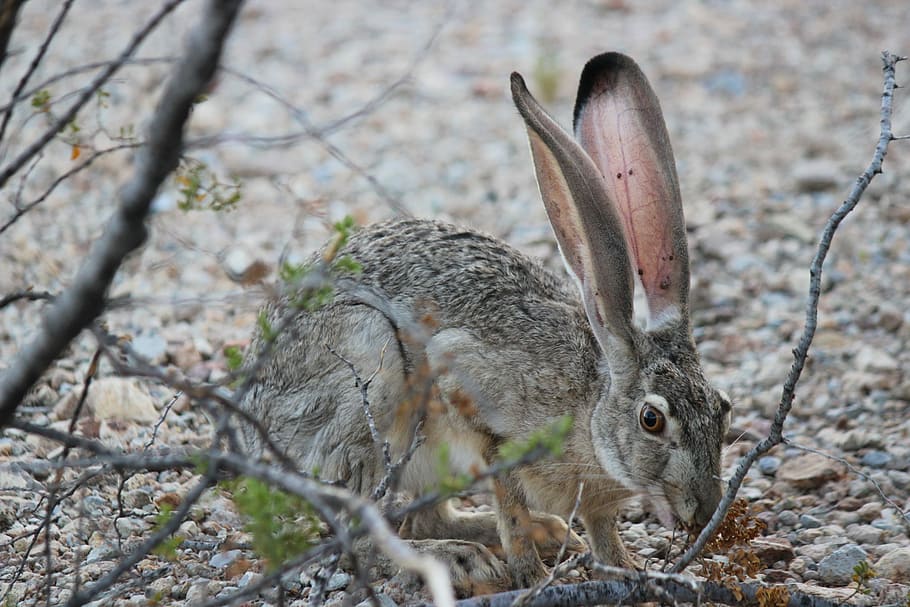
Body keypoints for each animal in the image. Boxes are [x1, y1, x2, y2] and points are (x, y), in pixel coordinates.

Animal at [239, 52, 731, 595]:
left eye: (724, 408)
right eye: (652, 419)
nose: (706, 511)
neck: (590, 407)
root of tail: (253, 432)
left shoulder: (597, 501)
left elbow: (601, 527)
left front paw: (629, 569)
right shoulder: (472, 399)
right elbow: (507, 494)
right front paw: (533, 576)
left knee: (424, 517)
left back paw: (532, 534)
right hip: (371, 373)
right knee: (359, 534)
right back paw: (460, 560)